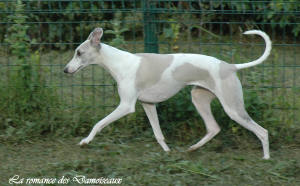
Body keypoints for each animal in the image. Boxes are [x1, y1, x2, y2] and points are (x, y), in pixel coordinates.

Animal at [63, 27, 272, 158]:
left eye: (79, 52)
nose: (65, 70)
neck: (120, 62)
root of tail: (230, 66)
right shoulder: (148, 105)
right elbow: (158, 134)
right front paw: (166, 151)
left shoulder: (126, 106)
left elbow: (98, 124)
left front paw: (85, 141)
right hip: (199, 98)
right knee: (214, 128)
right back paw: (193, 148)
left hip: (232, 108)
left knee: (262, 131)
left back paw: (266, 158)